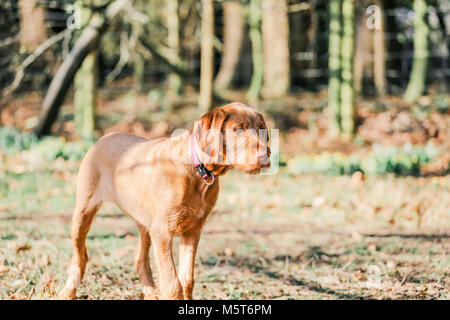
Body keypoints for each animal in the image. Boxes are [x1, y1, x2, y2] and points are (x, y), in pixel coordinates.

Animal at [59, 103, 270, 300]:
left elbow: (186, 278)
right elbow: (172, 283)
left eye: (262, 128)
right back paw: (68, 291)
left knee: (140, 258)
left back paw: (150, 292)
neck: (198, 171)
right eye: (238, 130)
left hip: (145, 221)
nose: (266, 156)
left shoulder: (192, 231)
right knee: (80, 256)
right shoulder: (163, 232)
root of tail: (104, 137)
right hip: (83, 212)